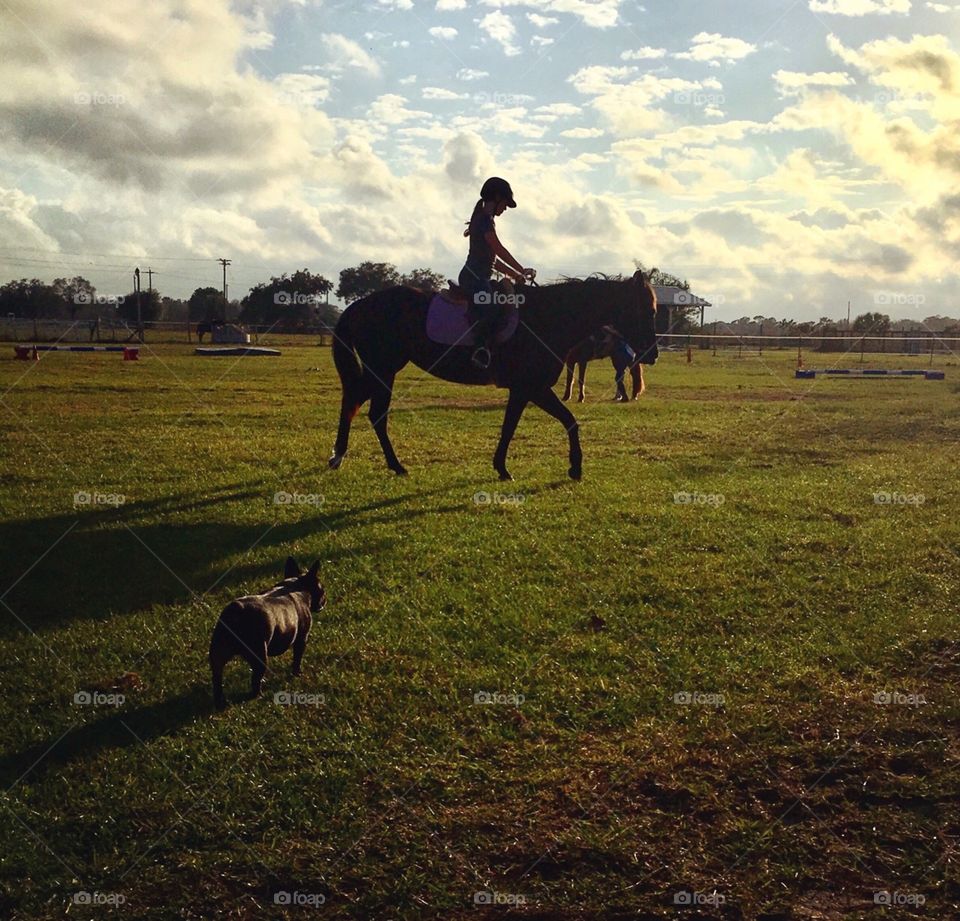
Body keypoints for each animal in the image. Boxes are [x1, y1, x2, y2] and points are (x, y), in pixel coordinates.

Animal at [208, 556, 324, 708]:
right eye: (322, 591)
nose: (324, 600)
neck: (295, 584)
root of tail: (235, 612)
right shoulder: (302, 638)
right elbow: (297, 658)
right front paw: (297, 673)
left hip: (218, 653)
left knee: (217, 679)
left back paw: (219, 703)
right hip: (259, 656)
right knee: (255, 679)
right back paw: (257, 696)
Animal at [326, 272, 656, 482]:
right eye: (647, 311)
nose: (651, 355)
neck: (549, 318)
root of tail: (362, 304)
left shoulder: (523, 390)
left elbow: (511, 426)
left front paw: (501, 467)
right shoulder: (532, 387)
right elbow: (567, 421)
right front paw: (574, 468)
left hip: (381, 371)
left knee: (356, 404)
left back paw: (343, 457)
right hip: (383, 369)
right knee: (373, 412)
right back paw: (390, 465)